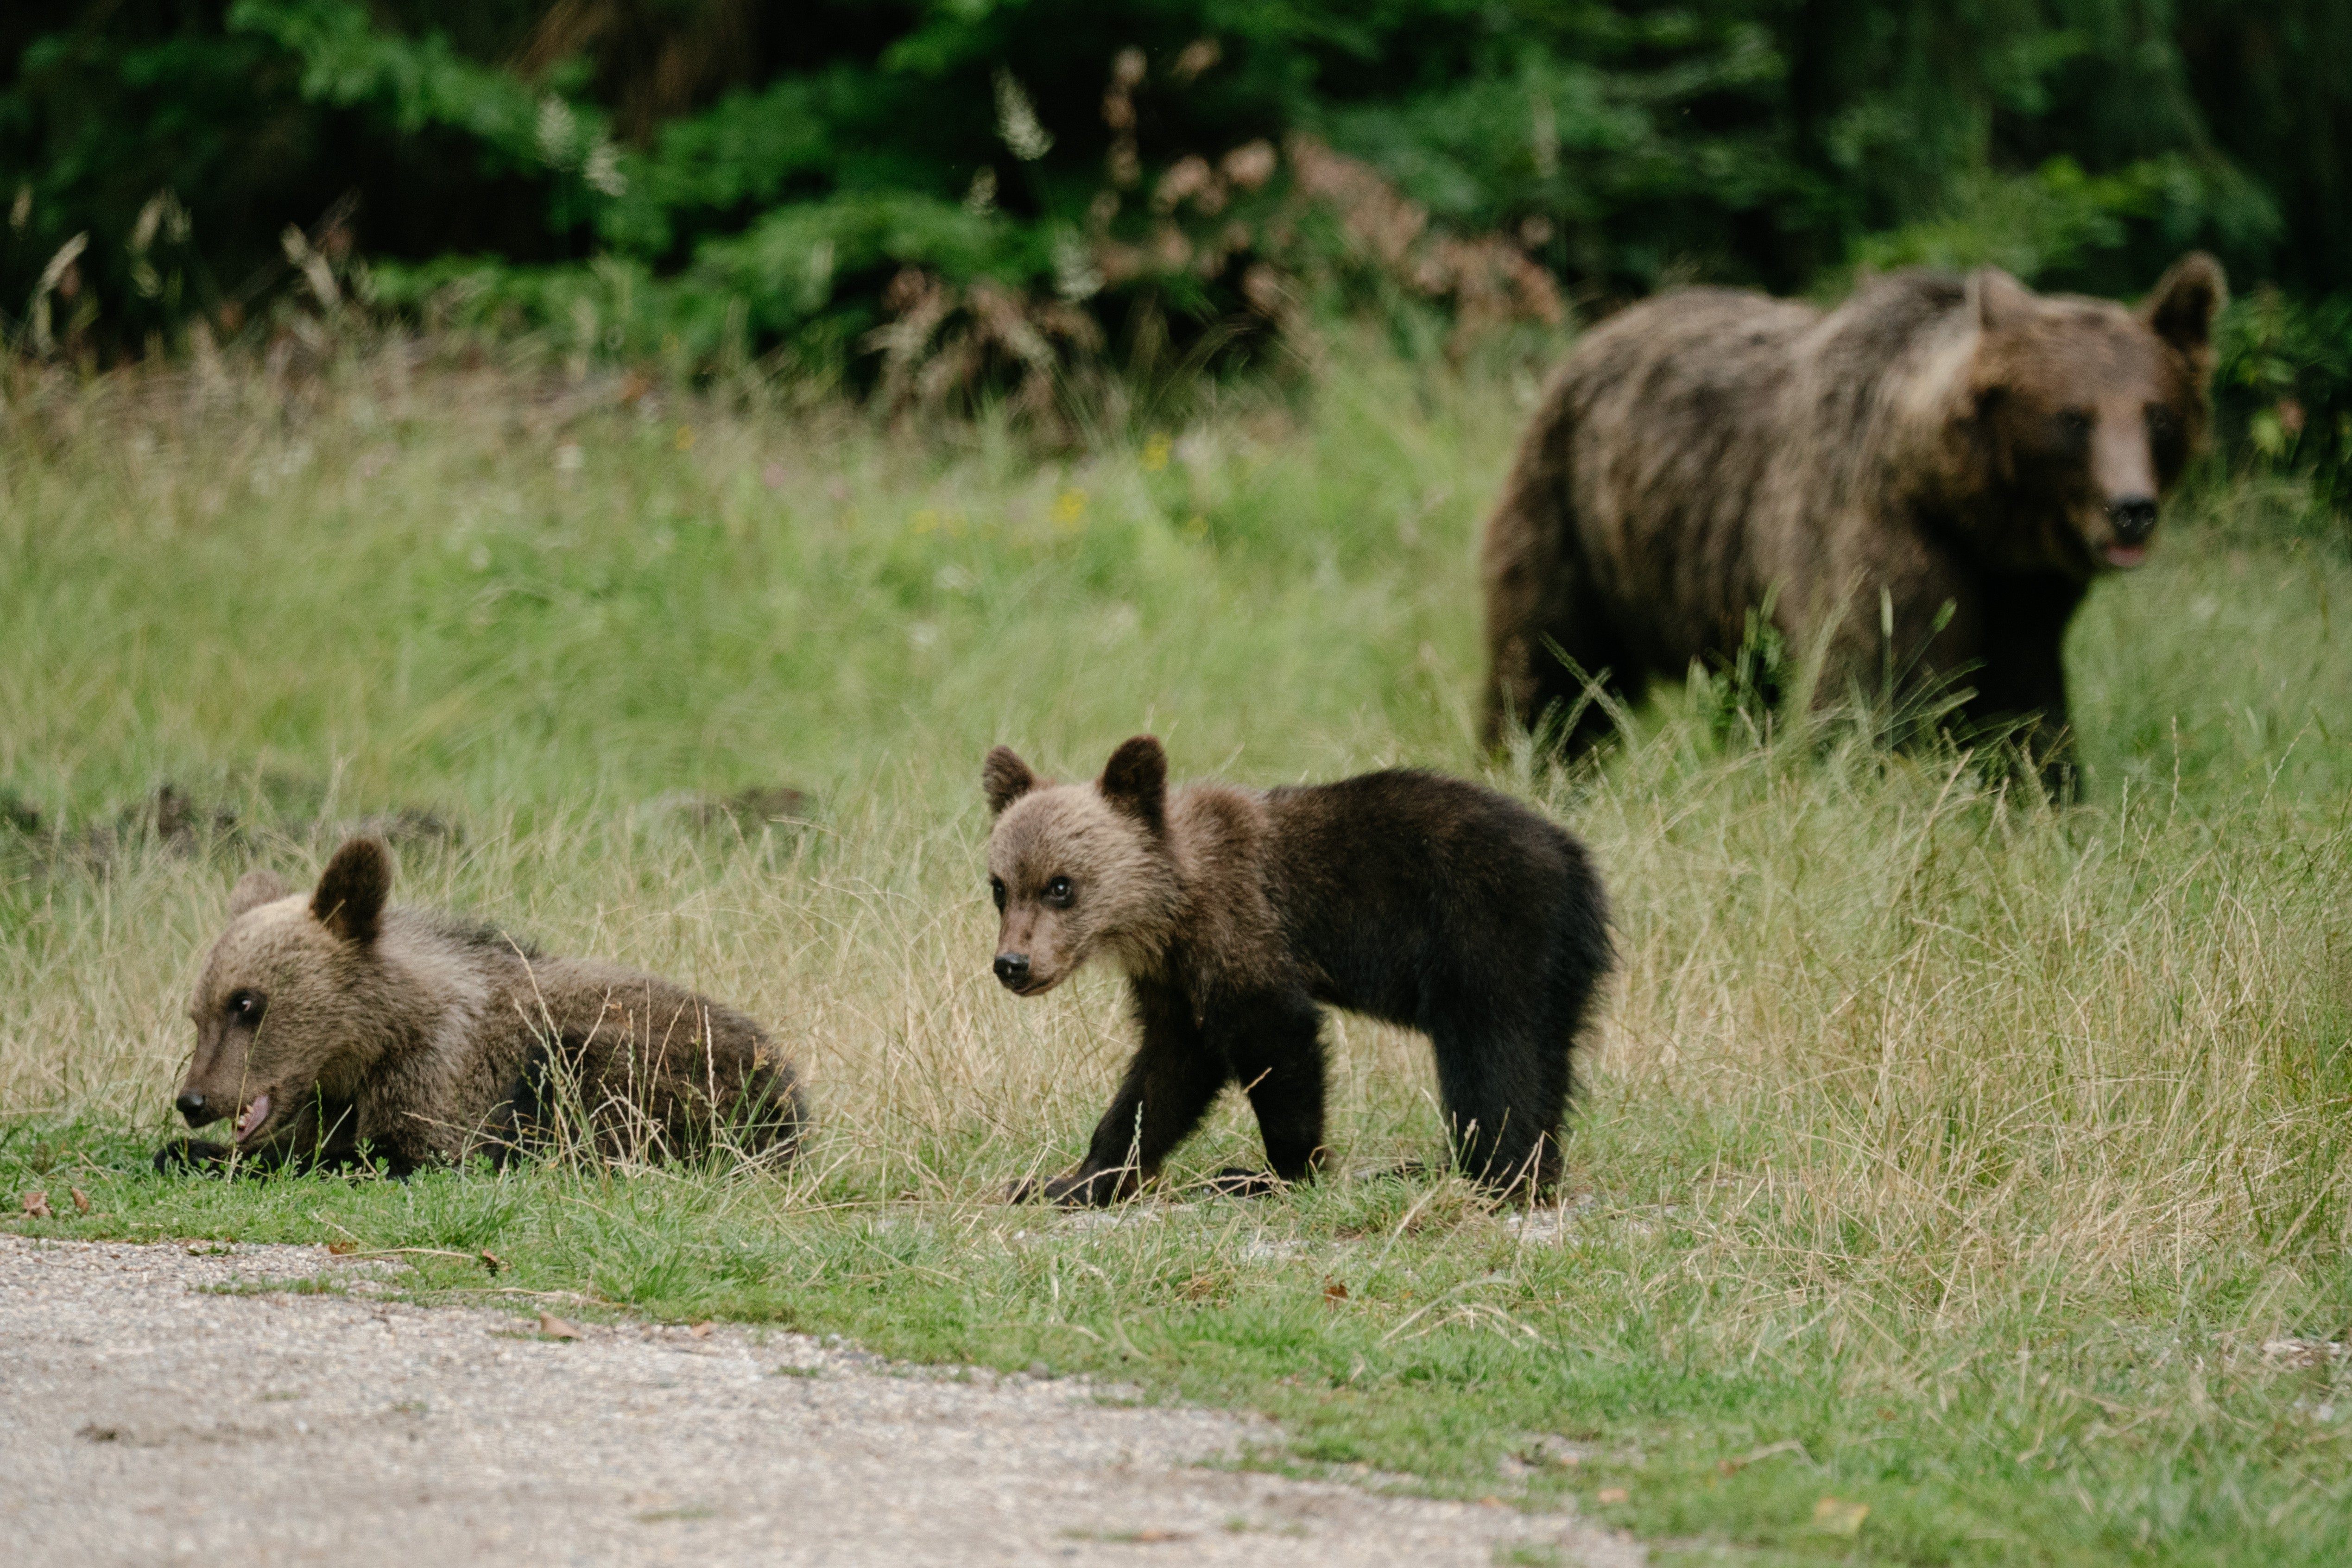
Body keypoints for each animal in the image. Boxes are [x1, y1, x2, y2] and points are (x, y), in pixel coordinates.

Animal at [154, 836, 807, 1176]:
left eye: (246, 1002)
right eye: (199, 1012)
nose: (194, 1100)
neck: (375, 1044)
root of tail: (793, 1084)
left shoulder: (448, 1081)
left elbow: (393, 1154)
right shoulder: (330, 1097)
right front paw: (189, 1149)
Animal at [982, 736, 1612, 1204]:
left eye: (1061, 885)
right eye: (1001, 886)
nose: (1012, 964)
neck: (1172, 911)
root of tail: (1578, 862)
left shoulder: (1246, 933)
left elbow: (1279, 1045)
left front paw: (1274, 1173)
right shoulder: (1176, 985)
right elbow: (1163, 1079)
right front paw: (1070, 1180)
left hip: (1487, 932)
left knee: (1495, 1056)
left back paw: (1485, 1173)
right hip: (1549, 969)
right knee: (1545, 1061)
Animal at [1479, 252, 2227, 787]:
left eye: (2158, 415)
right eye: (2074, 418)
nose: (2131, 510)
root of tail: (1603, 328)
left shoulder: (2026, 592)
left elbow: (2026, 704)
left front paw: (2046, 793)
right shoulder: (1875, 525)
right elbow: (1870, 681)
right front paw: (1862, 779)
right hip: (1576, 516)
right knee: (1552, 659)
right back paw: (1532, 762)